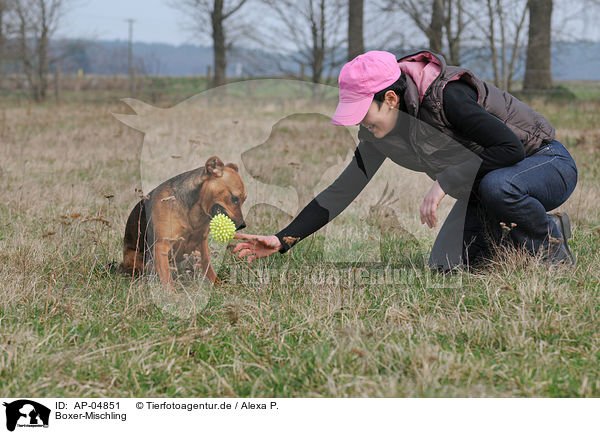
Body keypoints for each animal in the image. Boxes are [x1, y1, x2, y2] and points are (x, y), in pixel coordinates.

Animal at [121, 156, 246, 284]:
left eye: (244, 200)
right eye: (234, 198)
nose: (243, 225)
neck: (194, 213)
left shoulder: (202, 245)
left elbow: (210, 271)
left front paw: (218, 286)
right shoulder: (161, 247)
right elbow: (168, 281)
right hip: (136, 258)